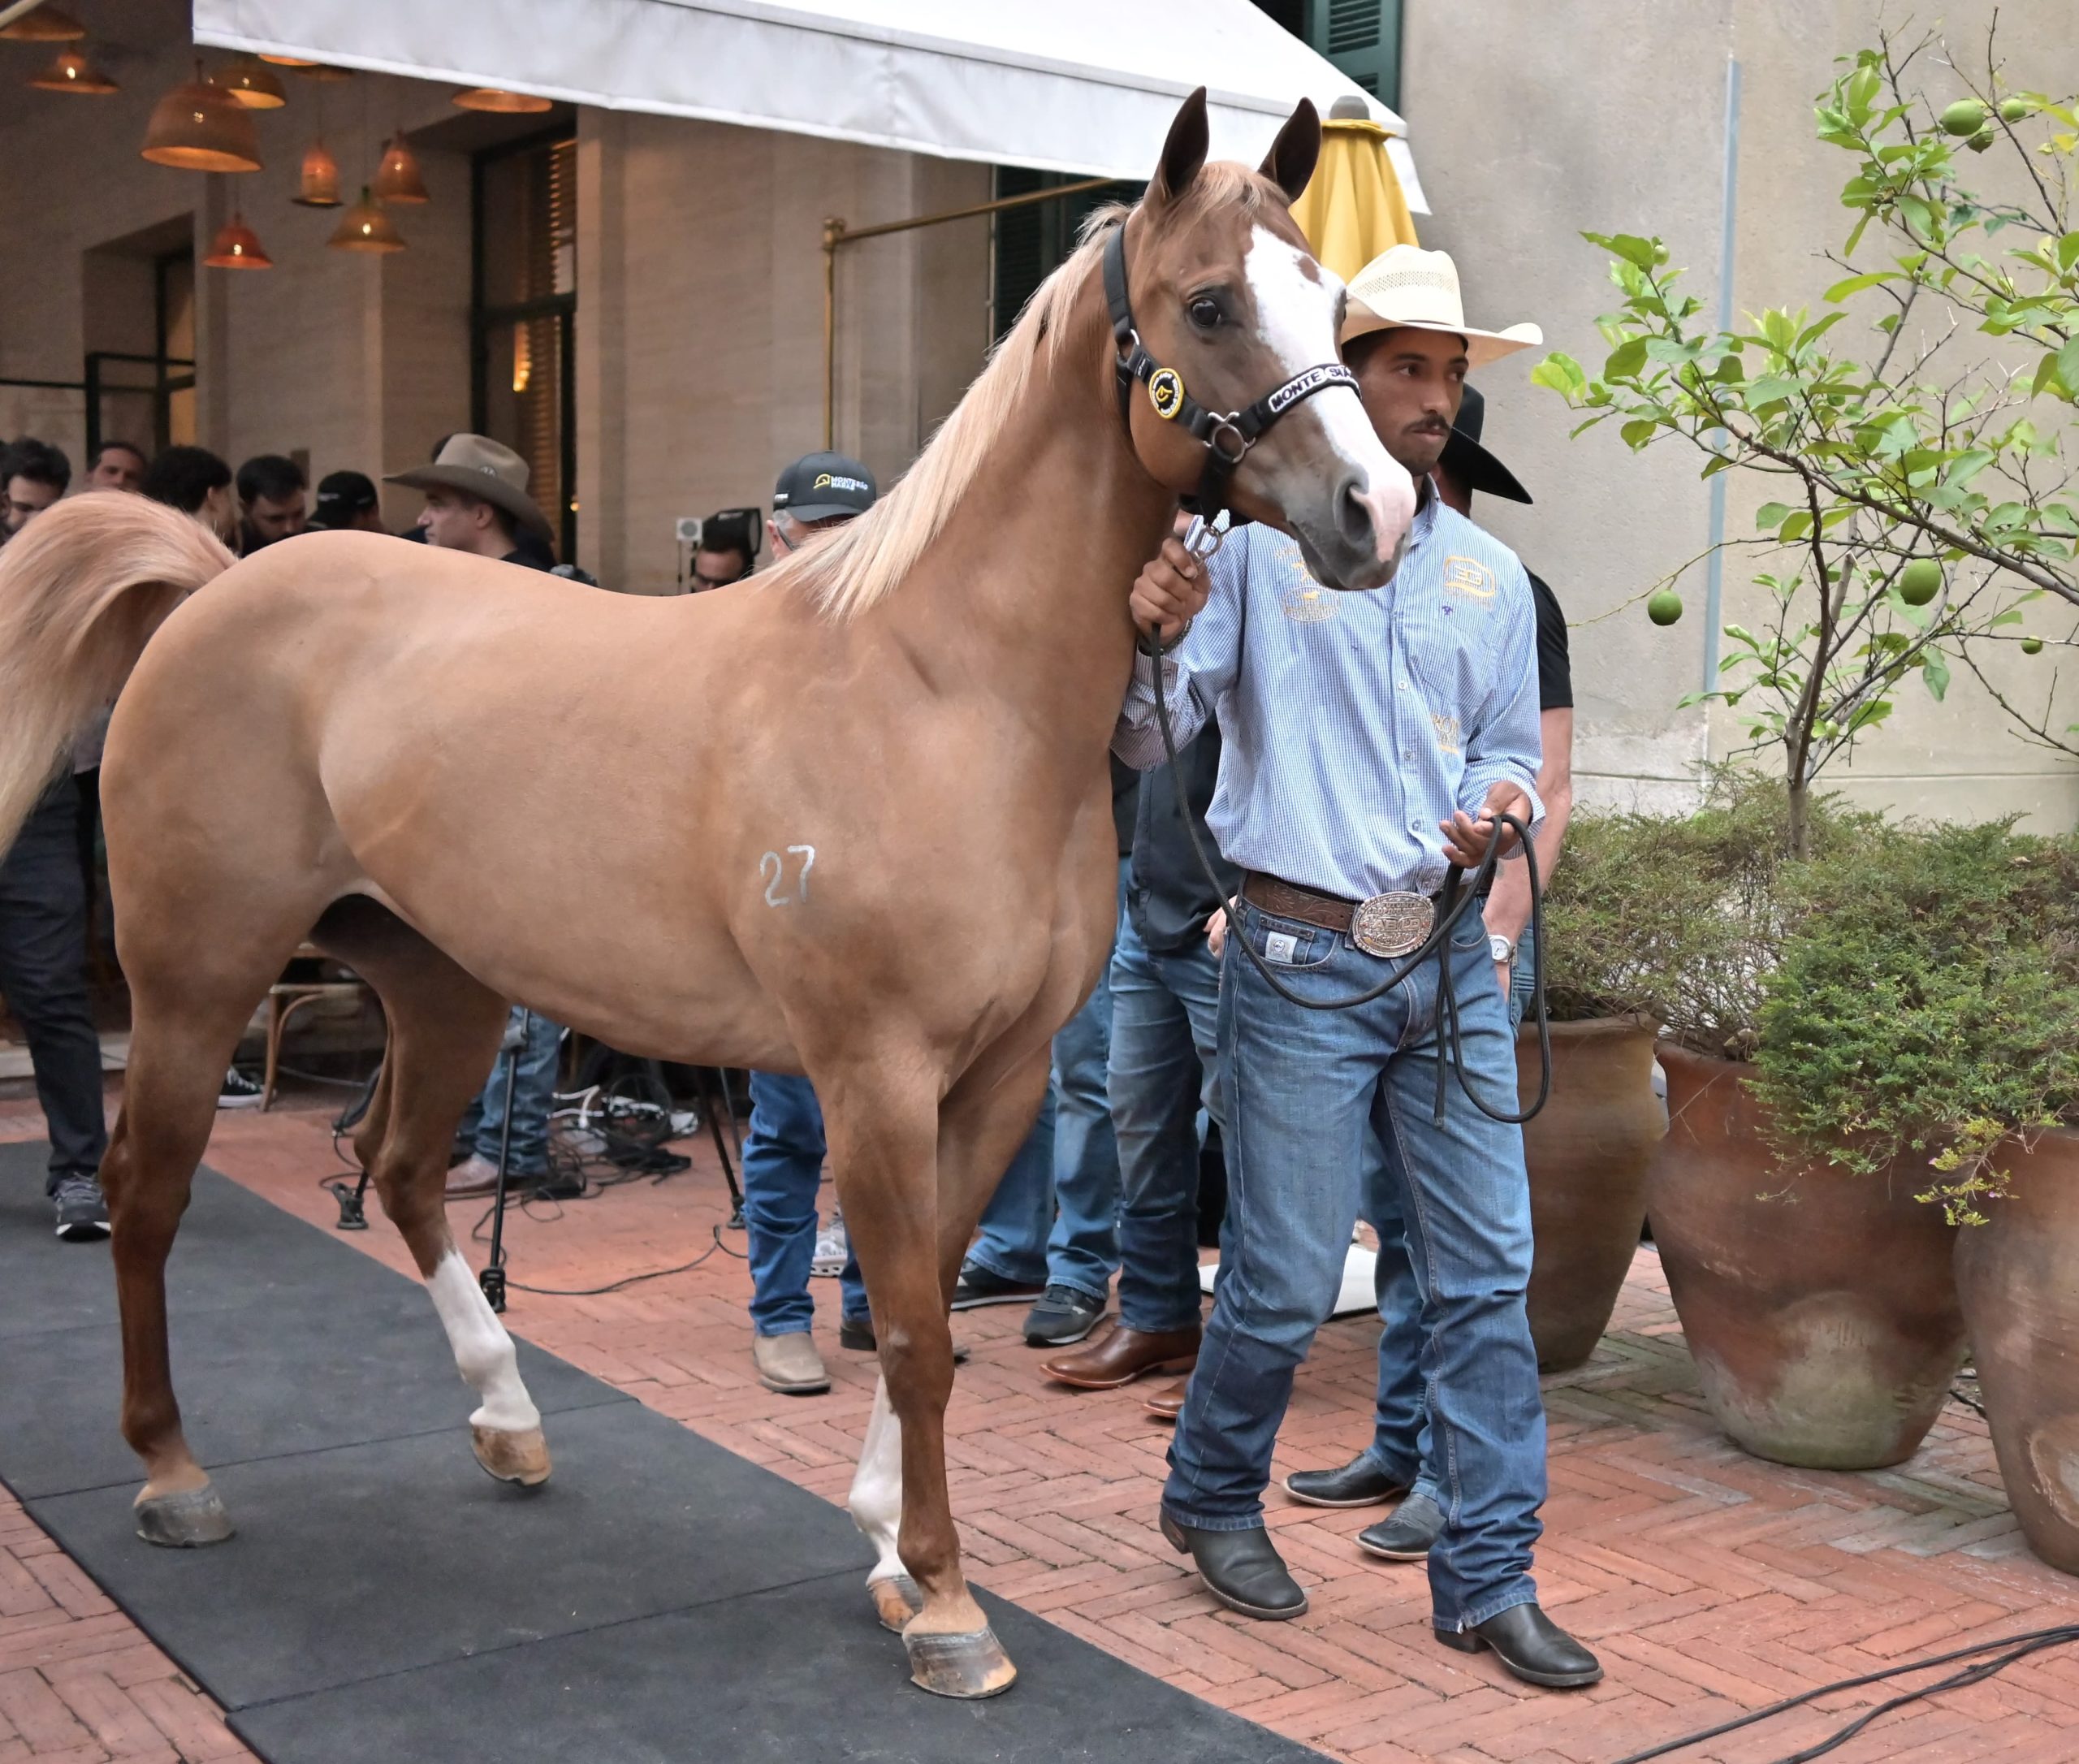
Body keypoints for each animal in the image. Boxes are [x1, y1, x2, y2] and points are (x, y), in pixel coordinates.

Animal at [0, 93, 1413, 1697]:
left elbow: (928, 1302)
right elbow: (912, 1331)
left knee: (400, 1165)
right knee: (150, 1188)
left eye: (1336, 302)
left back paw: (509, 1421)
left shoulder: (993, 1079)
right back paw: (173, 1473)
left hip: (443, 976)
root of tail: (206, 590)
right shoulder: (874, 1073)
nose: (1379, 511)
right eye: (1213, 303)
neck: (945, 691)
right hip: (196, 974)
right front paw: (946, 1603)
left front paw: (888, 1550)